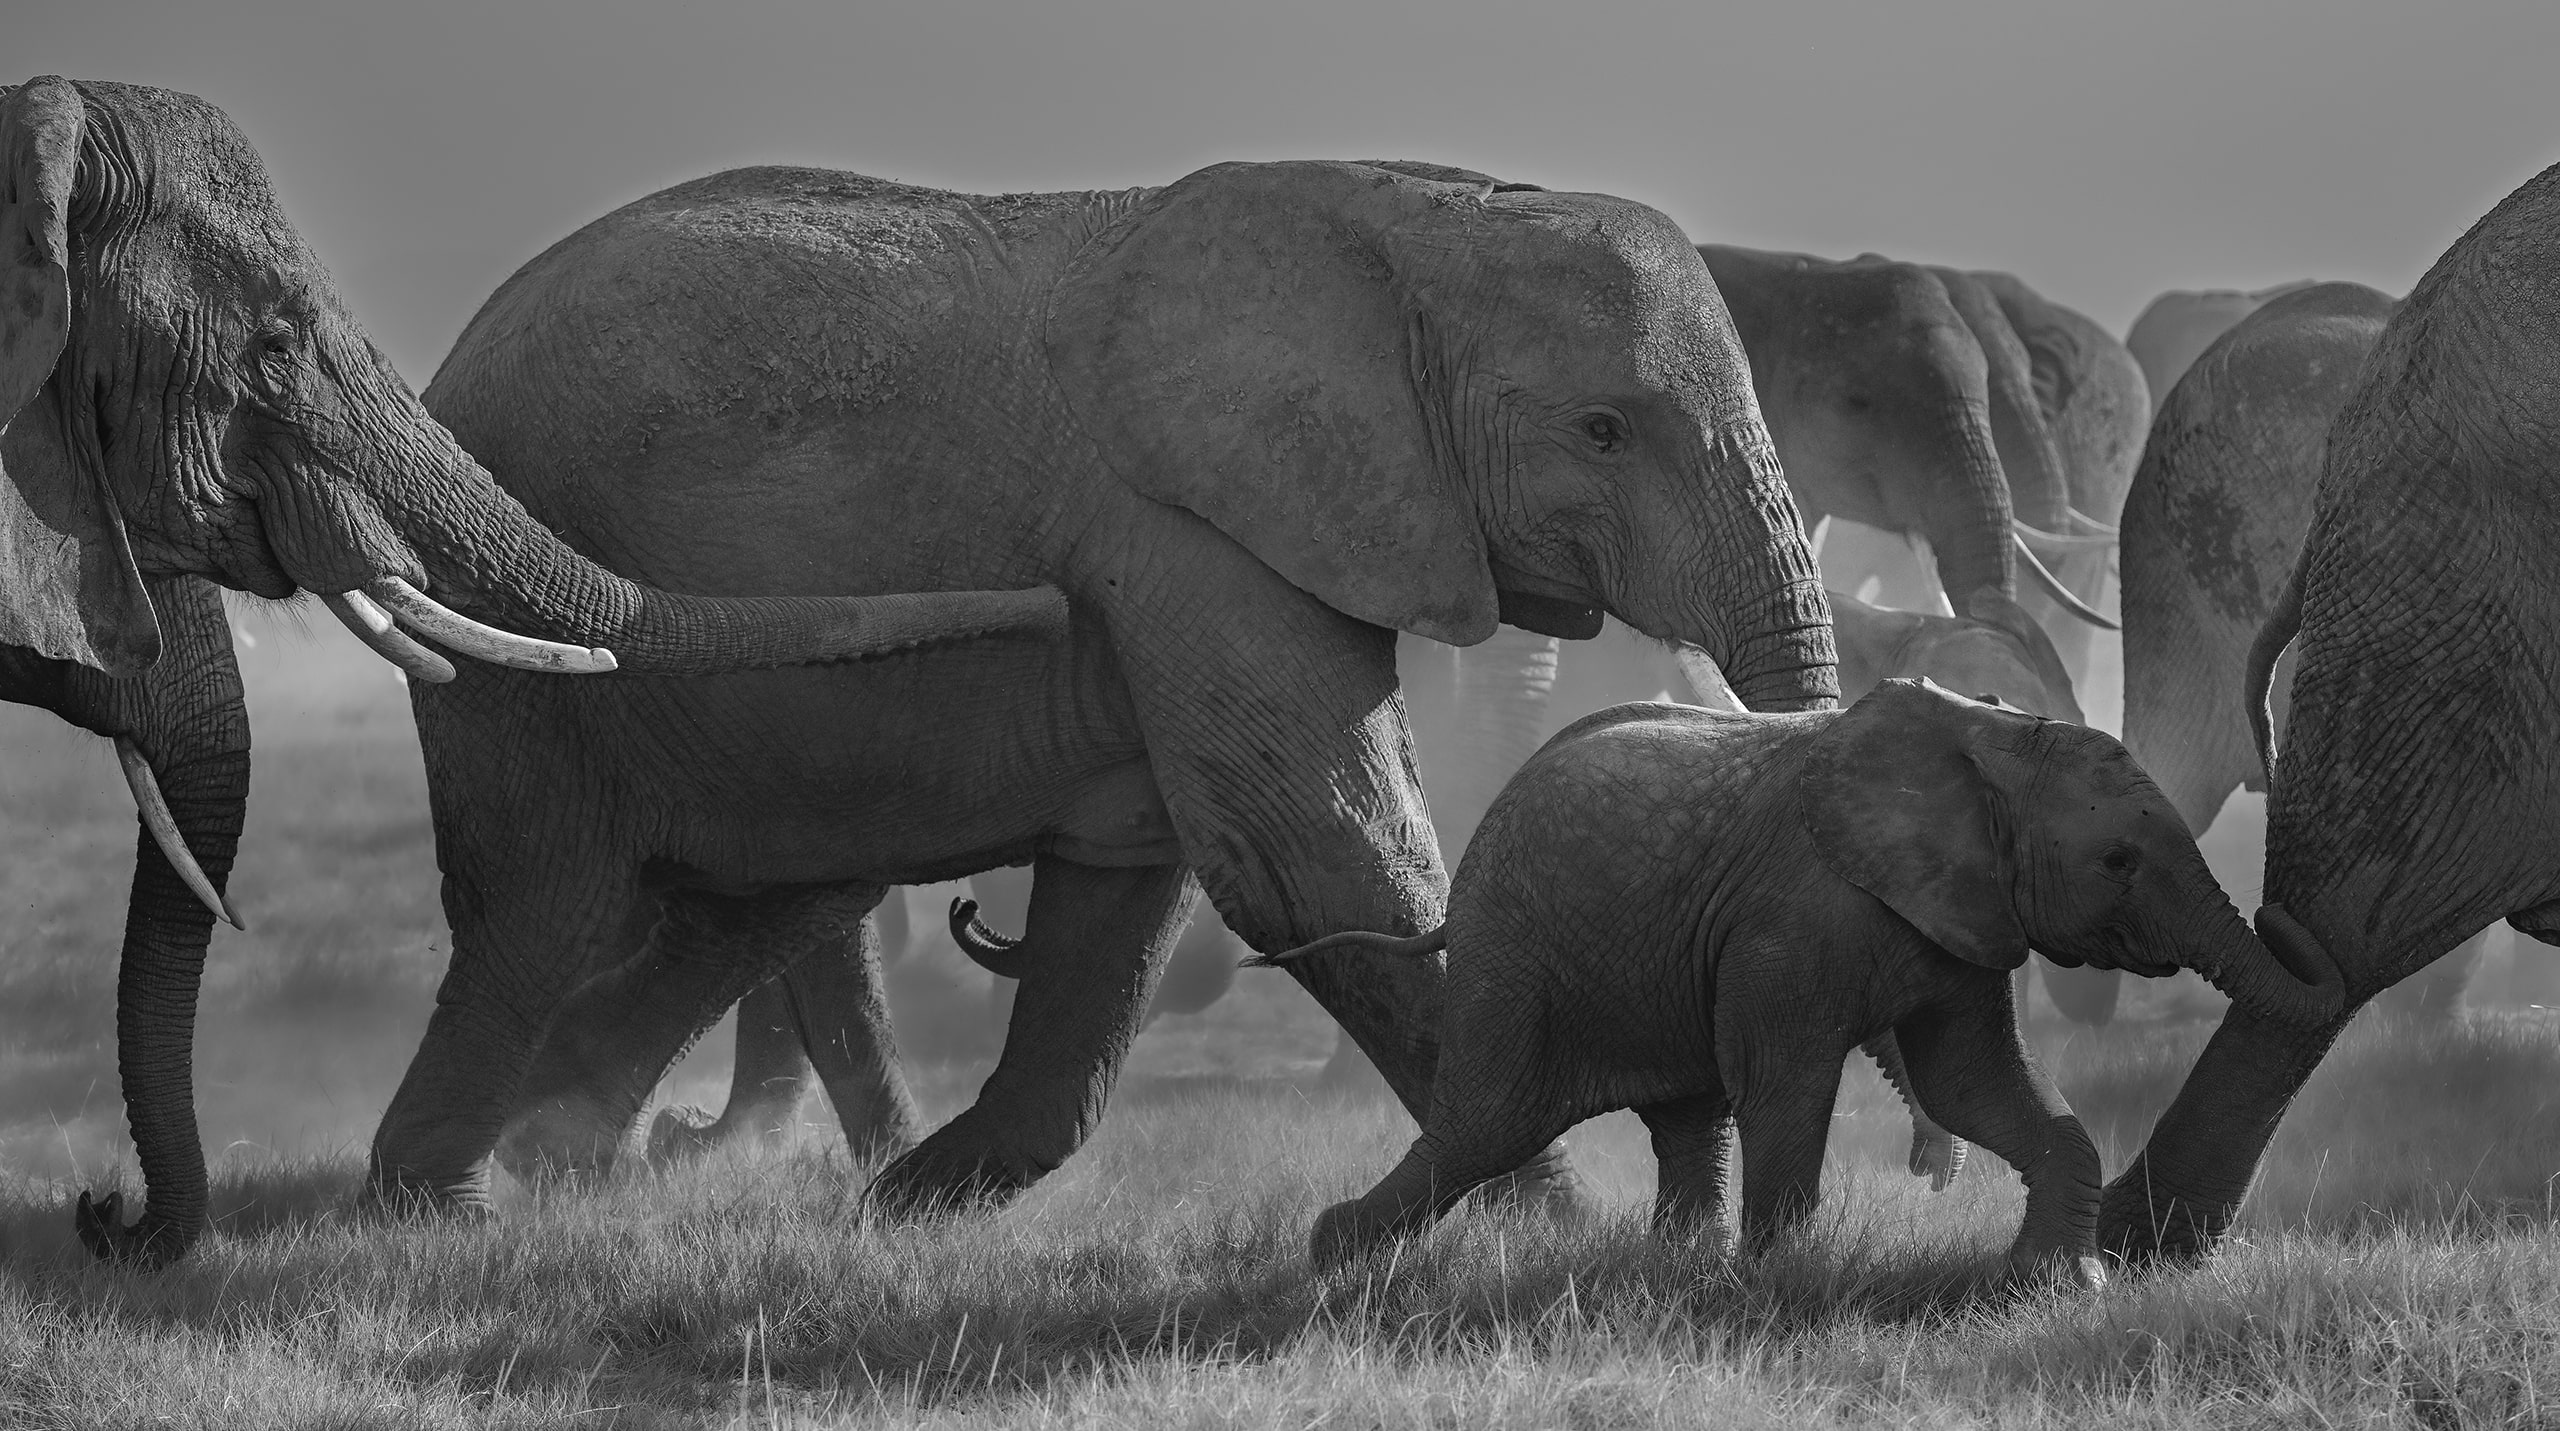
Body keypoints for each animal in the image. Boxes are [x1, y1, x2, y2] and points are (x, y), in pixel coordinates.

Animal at [373, 156, 1843, 1213]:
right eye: (1603, 431)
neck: (1421, 221)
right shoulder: (1190, 531)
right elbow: (1310, 851)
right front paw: (1550, 1228)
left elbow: (1133, 874)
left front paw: (906, 1213)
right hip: (513, 615)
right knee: (545, 905)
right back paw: (450, 1199)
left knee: (756, 904)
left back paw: (571, 1160)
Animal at [1259, 680, 2344, 1290]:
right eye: (2118, 861)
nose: (2286, 917)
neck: (1987, 744)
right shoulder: (1791, 921)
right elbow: (1788, 1081)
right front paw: (1783, 1286)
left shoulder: (1960, 919)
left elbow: (1972, 1084)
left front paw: (2061, 1285)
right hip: (1515, 955)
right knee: (1486, 1126)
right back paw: (1329, 1257)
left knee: (1683, 1118)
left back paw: (1678, 1268)